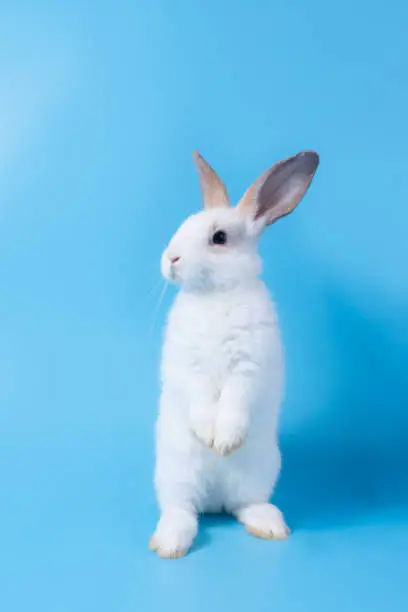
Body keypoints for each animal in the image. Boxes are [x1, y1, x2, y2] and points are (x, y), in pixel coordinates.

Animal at [150, 149, 318, 560]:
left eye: (219, 238)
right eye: (182, 225)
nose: (170, 259)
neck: (215, 295)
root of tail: (214, 500)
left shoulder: (249, 366)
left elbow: (236, 399)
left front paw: (224, 441)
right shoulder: (188, 365)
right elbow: (198, 396)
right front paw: (208, 435)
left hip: (261, 471)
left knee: (244, 506)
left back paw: (270, 526)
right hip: (175, 473)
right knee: (183, 511)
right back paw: (169, 543)